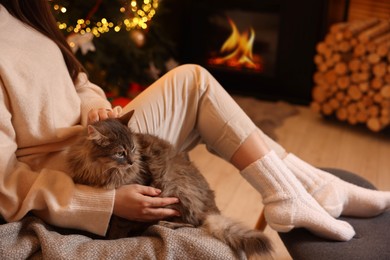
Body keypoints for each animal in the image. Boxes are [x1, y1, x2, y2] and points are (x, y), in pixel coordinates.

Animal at [67, 110, 272, 258]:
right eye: (119, 153)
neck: (100, 171)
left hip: (173, 187)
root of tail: (211, 208)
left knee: (195, 222)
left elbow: (116, 232)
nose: (132, 162)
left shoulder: (125, 213)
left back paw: (165, 223)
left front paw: (110, 239)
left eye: (132, 148)